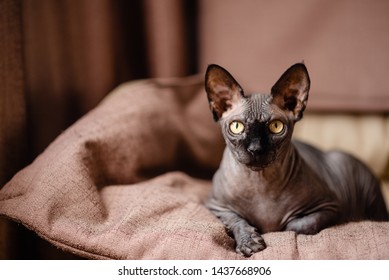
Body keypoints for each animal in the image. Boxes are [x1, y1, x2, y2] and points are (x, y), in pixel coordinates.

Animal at [205, 63, 386, 256]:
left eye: (276, 126)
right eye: (236, 127)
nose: (255, 149)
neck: (260, 183)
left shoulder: (330, 207)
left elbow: (297, 225)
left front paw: (275, 229)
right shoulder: (216, 206)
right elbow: (236, 220)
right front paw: (249, 241)